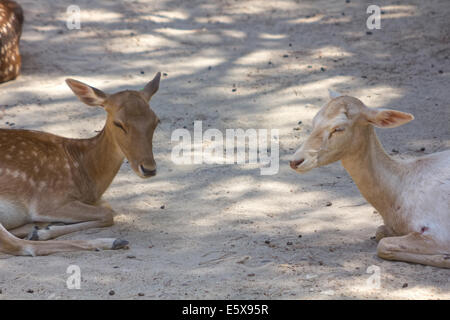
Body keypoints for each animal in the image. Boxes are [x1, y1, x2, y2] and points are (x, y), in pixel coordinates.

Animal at [0, 72, 161, 255]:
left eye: (156, 121)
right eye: (118, 123)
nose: (149, 169)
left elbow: (109, 210)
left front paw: (42, 230)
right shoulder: (48, 200)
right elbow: (107, 214)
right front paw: (42, 231)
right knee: (15, 245)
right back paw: (113, 241)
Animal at [290, 92, 450, 268]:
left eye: (339, 128)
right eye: (314, 121)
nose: (295, 161)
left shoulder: (438, 231)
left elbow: (383, 244)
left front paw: (446, 257)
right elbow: (380, 233)